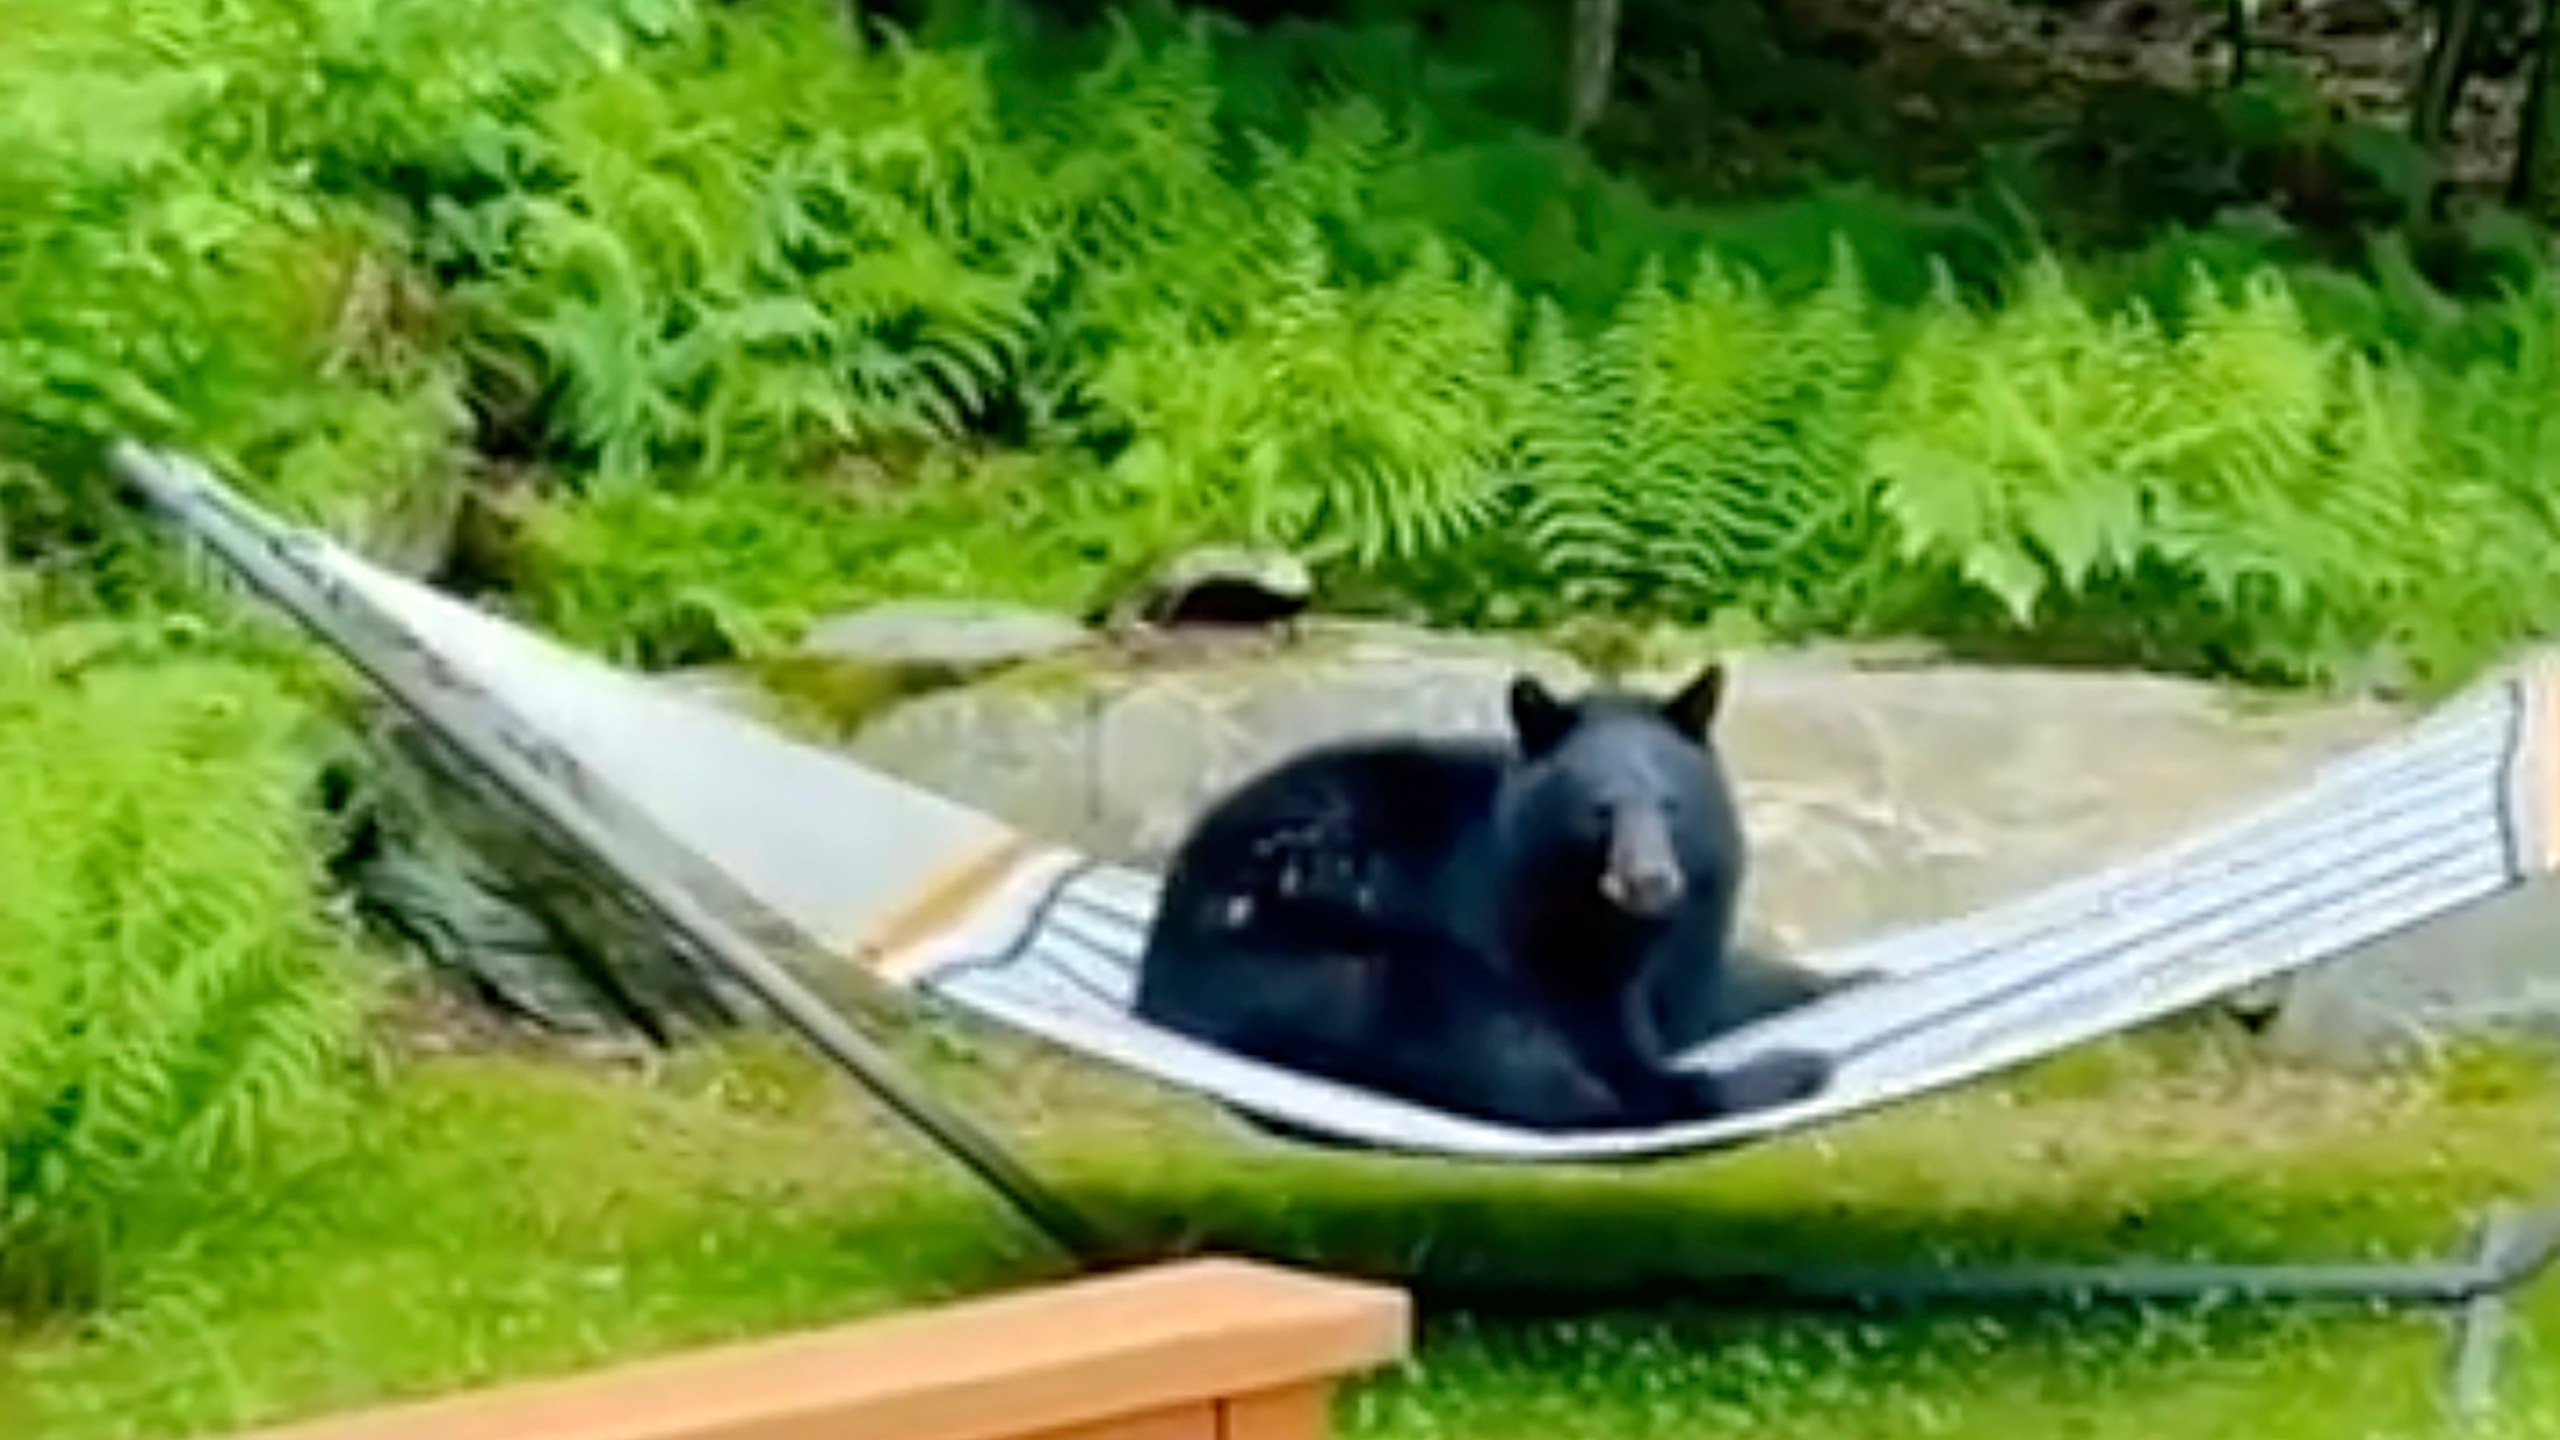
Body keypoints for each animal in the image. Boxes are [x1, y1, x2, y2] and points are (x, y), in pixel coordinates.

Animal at [1136, 655, 1843, 1127]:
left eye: (1671, 807)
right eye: (1601, 811)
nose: (1650, 881)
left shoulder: (1690, 937)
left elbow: (1722, 988)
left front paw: (1828, 983)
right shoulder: (1524, 925)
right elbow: (1602, 1039)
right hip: (1322, 957)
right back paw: (1789, 1069)